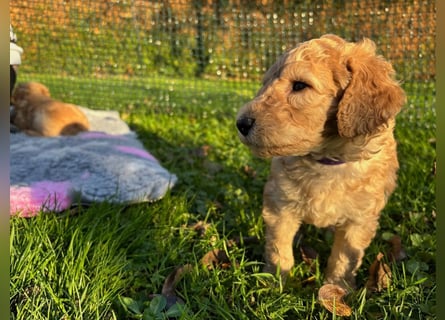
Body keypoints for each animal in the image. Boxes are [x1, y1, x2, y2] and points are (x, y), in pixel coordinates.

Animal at [236, 33, 406, 288]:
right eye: (265, 84)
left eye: (299, 85)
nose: (241, 123)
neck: (326, 160)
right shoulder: (280, 205)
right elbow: (278, 247)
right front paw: (276, 282)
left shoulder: (359, 219)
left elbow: (345, 257)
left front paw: (337, 289)